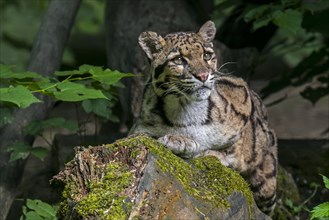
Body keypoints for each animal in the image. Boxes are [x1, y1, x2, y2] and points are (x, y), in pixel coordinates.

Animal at [129, 21, 276, 215]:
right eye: (179, 60)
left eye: (207, 55)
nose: (203, 76)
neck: (186, 107)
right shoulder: (139, 129)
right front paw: (181, 141)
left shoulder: (244, 100)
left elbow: (235, 149)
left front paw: (207, 150)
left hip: (267, 184)